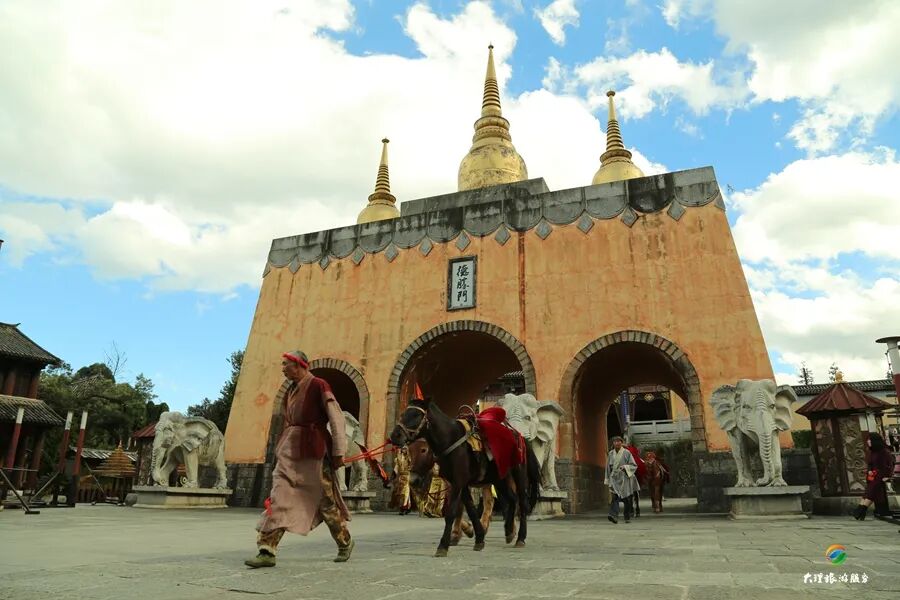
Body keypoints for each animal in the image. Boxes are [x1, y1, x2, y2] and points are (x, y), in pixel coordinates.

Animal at [389, 398, 540, 557]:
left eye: (416, 415)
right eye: (409, 451)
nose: (395, 436)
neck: (450, 439)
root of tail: (520, 436)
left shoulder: (458, 482)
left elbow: (451, 512)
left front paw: (443, 545)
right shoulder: (461, 483)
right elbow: (471, 510)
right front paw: (478, 538)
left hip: (519, 474)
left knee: (522, 502)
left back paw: (520, 538)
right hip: (500, 477)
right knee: (511, 499)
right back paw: (509, 531)